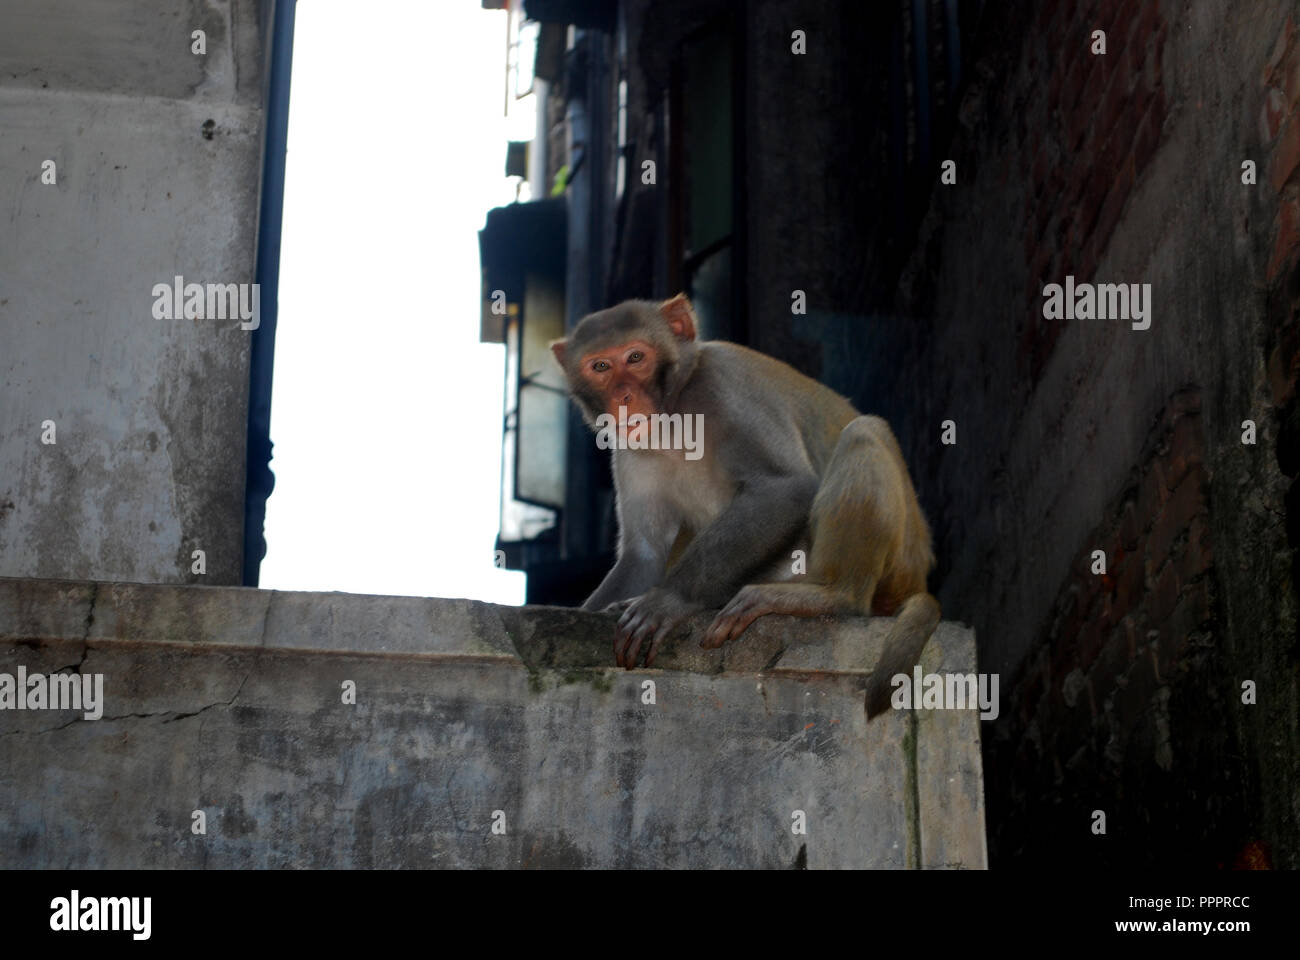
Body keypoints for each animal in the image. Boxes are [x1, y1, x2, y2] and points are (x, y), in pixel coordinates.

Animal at [550, 293, 940, 717]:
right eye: (601, 367)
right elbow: (645, 554)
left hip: (898, 562)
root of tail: (918, 575)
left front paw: (669, 599)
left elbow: (785, 488)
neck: (674, 413)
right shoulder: (630, 449)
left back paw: (833, 595)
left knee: (863, 434)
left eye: (635, 357)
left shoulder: (723, 387)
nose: (622, 398)